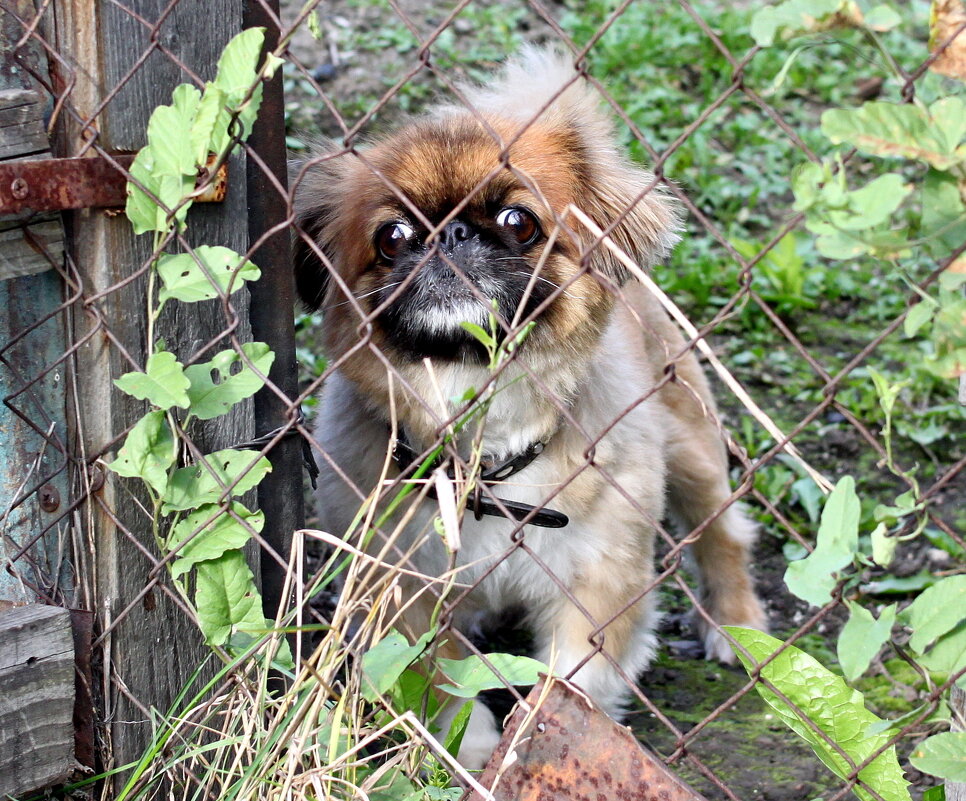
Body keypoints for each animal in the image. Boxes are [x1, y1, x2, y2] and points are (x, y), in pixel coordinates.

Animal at [292, 45, 768, 768]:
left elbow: (572, 680)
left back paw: (737, 622)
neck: (488, 455)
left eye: (519, 223)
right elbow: (443, 681)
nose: (452, 233)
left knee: (724, 535)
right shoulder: (402, 591)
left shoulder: (599, 583)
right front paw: (476, 750)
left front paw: (546, 747)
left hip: (691, 449)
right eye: (393, 237)